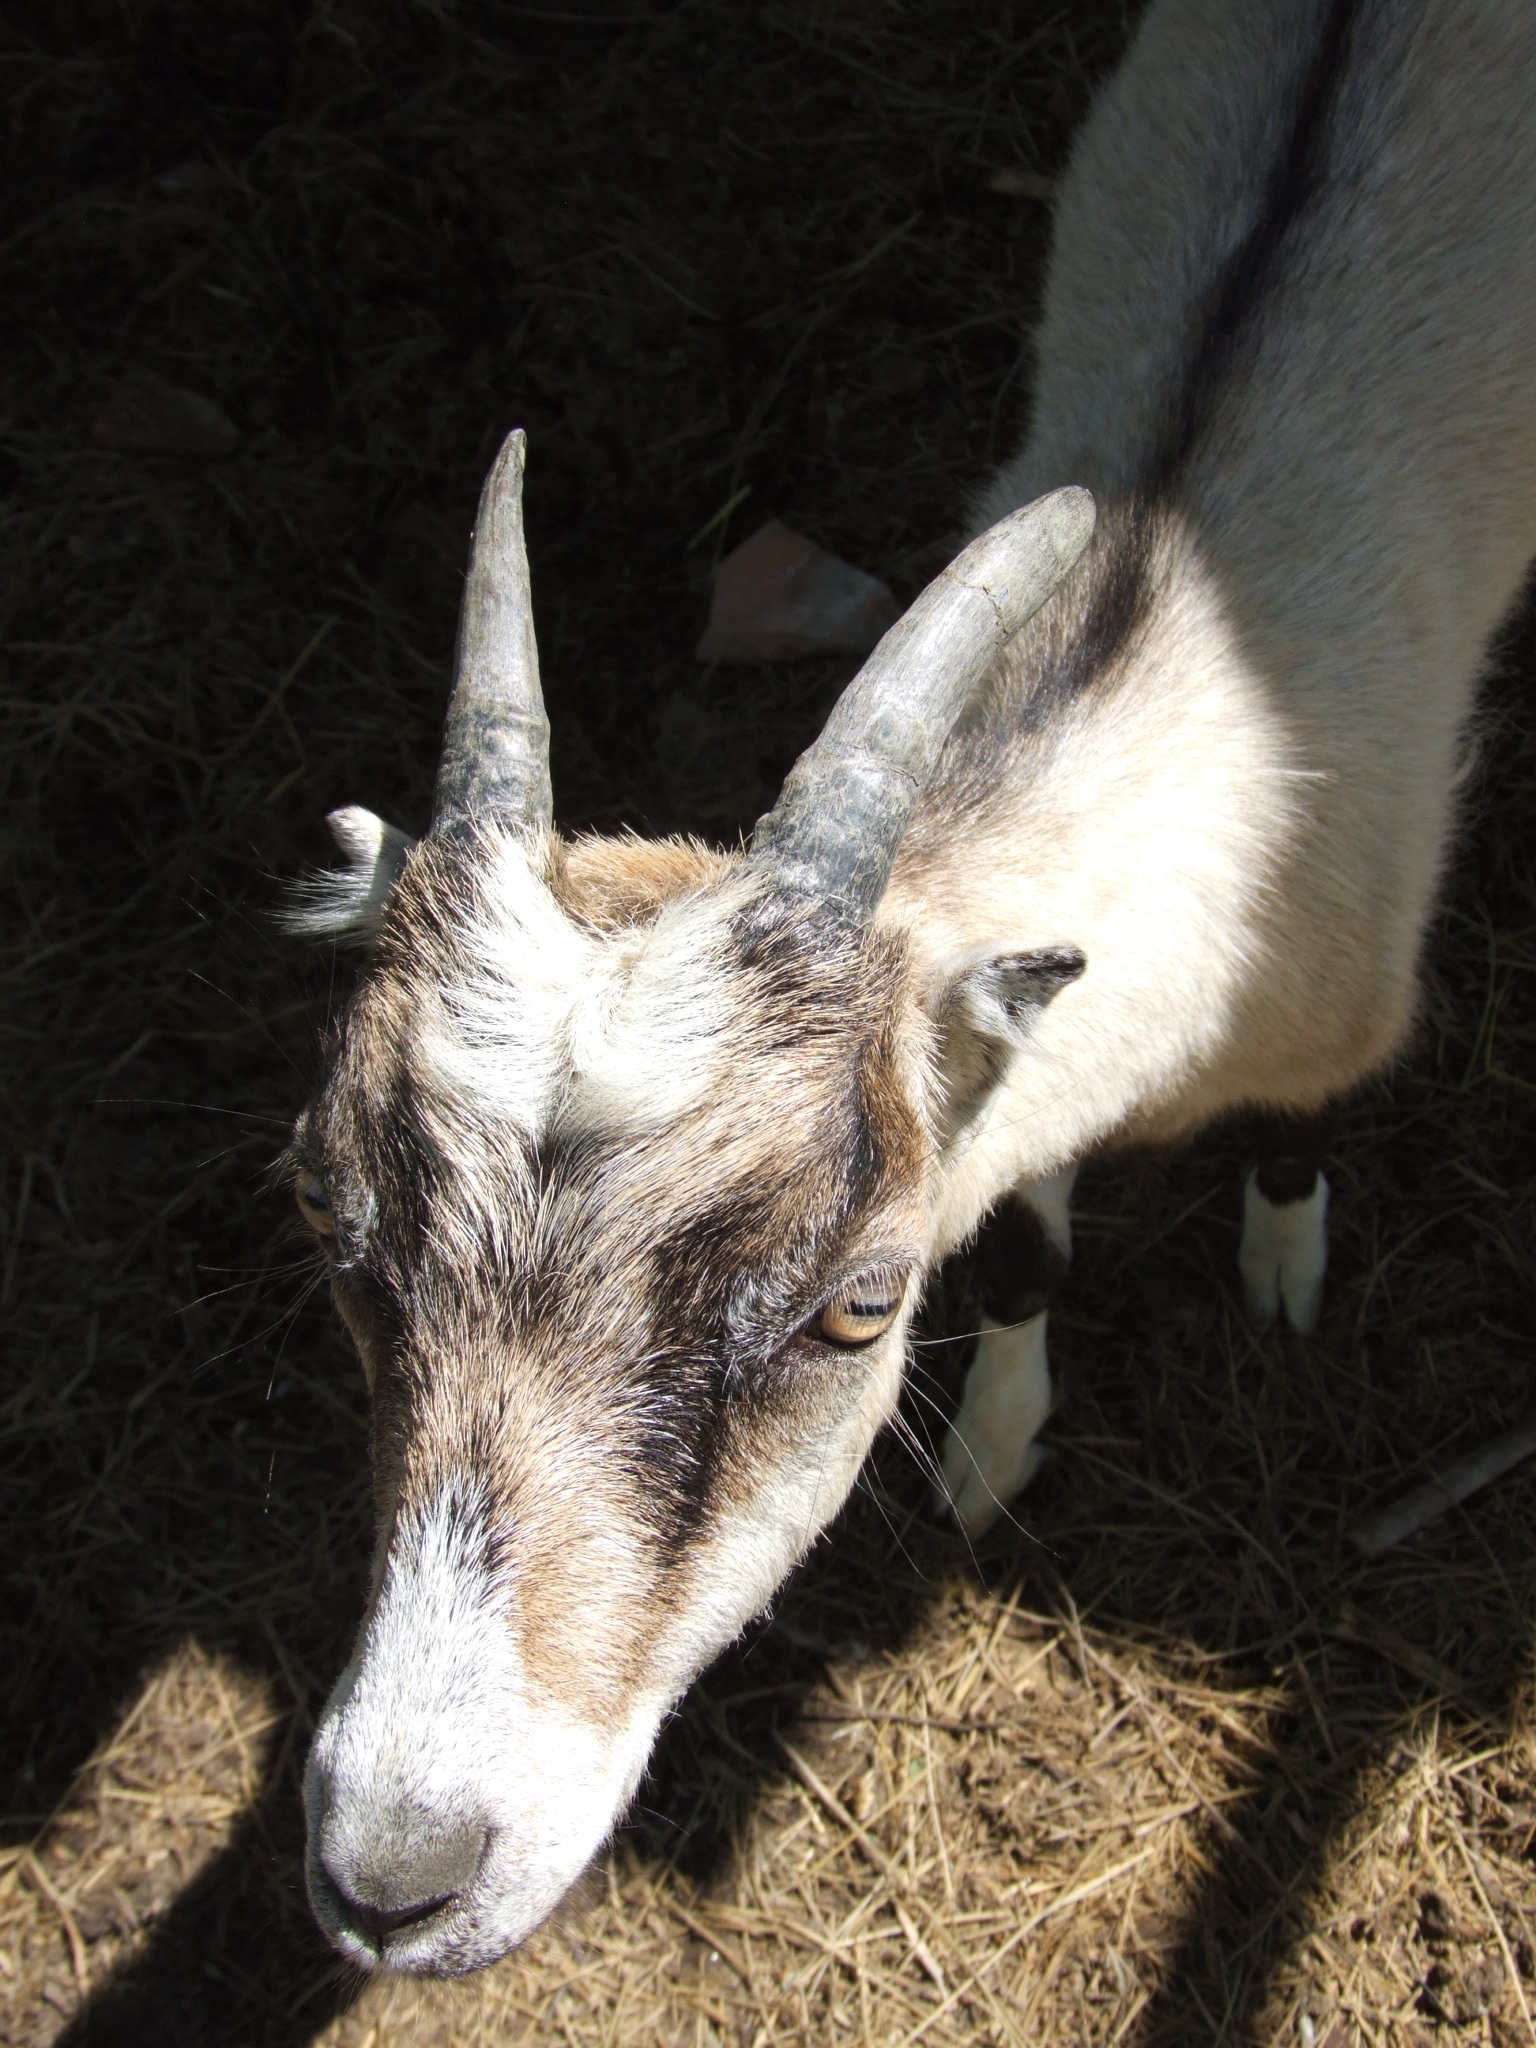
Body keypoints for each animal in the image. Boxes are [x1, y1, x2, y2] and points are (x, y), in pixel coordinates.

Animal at [286, 0, 1536, 1975]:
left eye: (853, 1309)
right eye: (335, 1228)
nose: (391, 1873)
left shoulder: (1343, 1011)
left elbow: (1293, 1140)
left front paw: (1280, 1271)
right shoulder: (1010, 1098)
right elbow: (1025, 1243)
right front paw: (994, 1444)